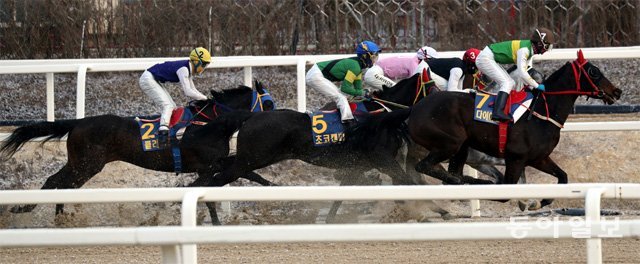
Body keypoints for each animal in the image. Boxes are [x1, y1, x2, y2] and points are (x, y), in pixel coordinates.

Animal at [0, 80, 276, 217]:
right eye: (270, 104)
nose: (276, 121)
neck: (211, 124)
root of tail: (78, 122)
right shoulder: (206, 166)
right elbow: (207, 195)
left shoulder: (211, 165)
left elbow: (248, 173)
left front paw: (274, 187)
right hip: (87, 164)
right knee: (59, 182)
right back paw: (27, 208)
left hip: (80, 163)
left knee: (62, 184)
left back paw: (59, 218)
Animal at [404, 50, 620, 208]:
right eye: (594, 72)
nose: (617, 91)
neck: (540, 113)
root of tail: (414, 110)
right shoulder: (516, 159)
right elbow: (504, 192)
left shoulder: (538, 158)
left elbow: (563, 176)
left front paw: (540, 201)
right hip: (450, 143)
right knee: (425, 167)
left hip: (462, 148)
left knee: (450, 173)